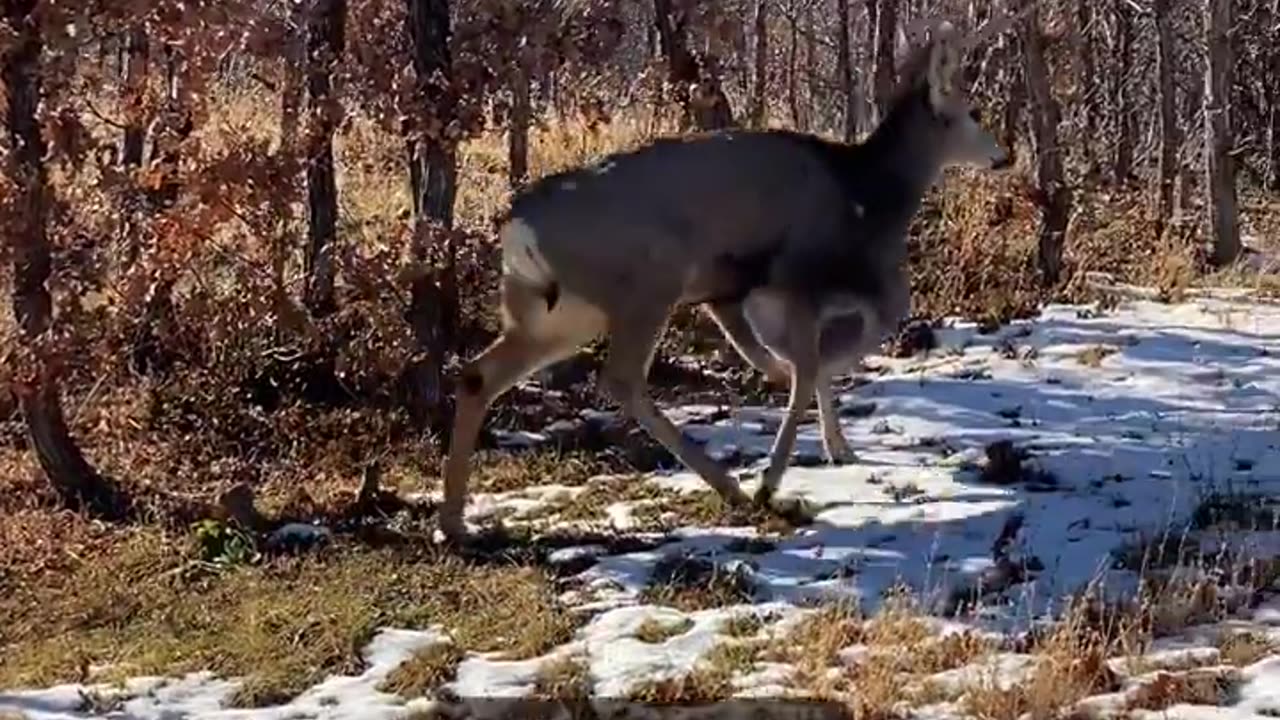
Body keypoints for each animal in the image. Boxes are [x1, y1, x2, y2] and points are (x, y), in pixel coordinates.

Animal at [440, 12, 1029, 543]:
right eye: (973, 109)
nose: (1005, 155)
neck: (865, 192)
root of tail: (517, 226)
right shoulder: (797, 276)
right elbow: (816, 362)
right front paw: (773, 478)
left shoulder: (739, 293)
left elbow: (794, 363)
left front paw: (837, 447)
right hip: (648, 281)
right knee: (621, 378)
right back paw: (733, 487)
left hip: (554, 313)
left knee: (478, 374)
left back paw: (455, 524)